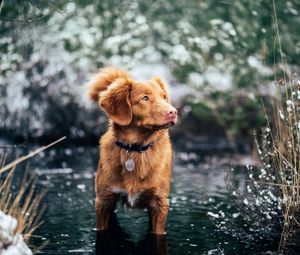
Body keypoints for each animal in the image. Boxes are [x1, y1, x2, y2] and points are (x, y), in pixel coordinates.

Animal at [88, 66, 178, 234]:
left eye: (164, 97)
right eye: (145, 98)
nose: (173, 112)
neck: (135, 149)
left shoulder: (160, 203)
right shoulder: (104, 201)